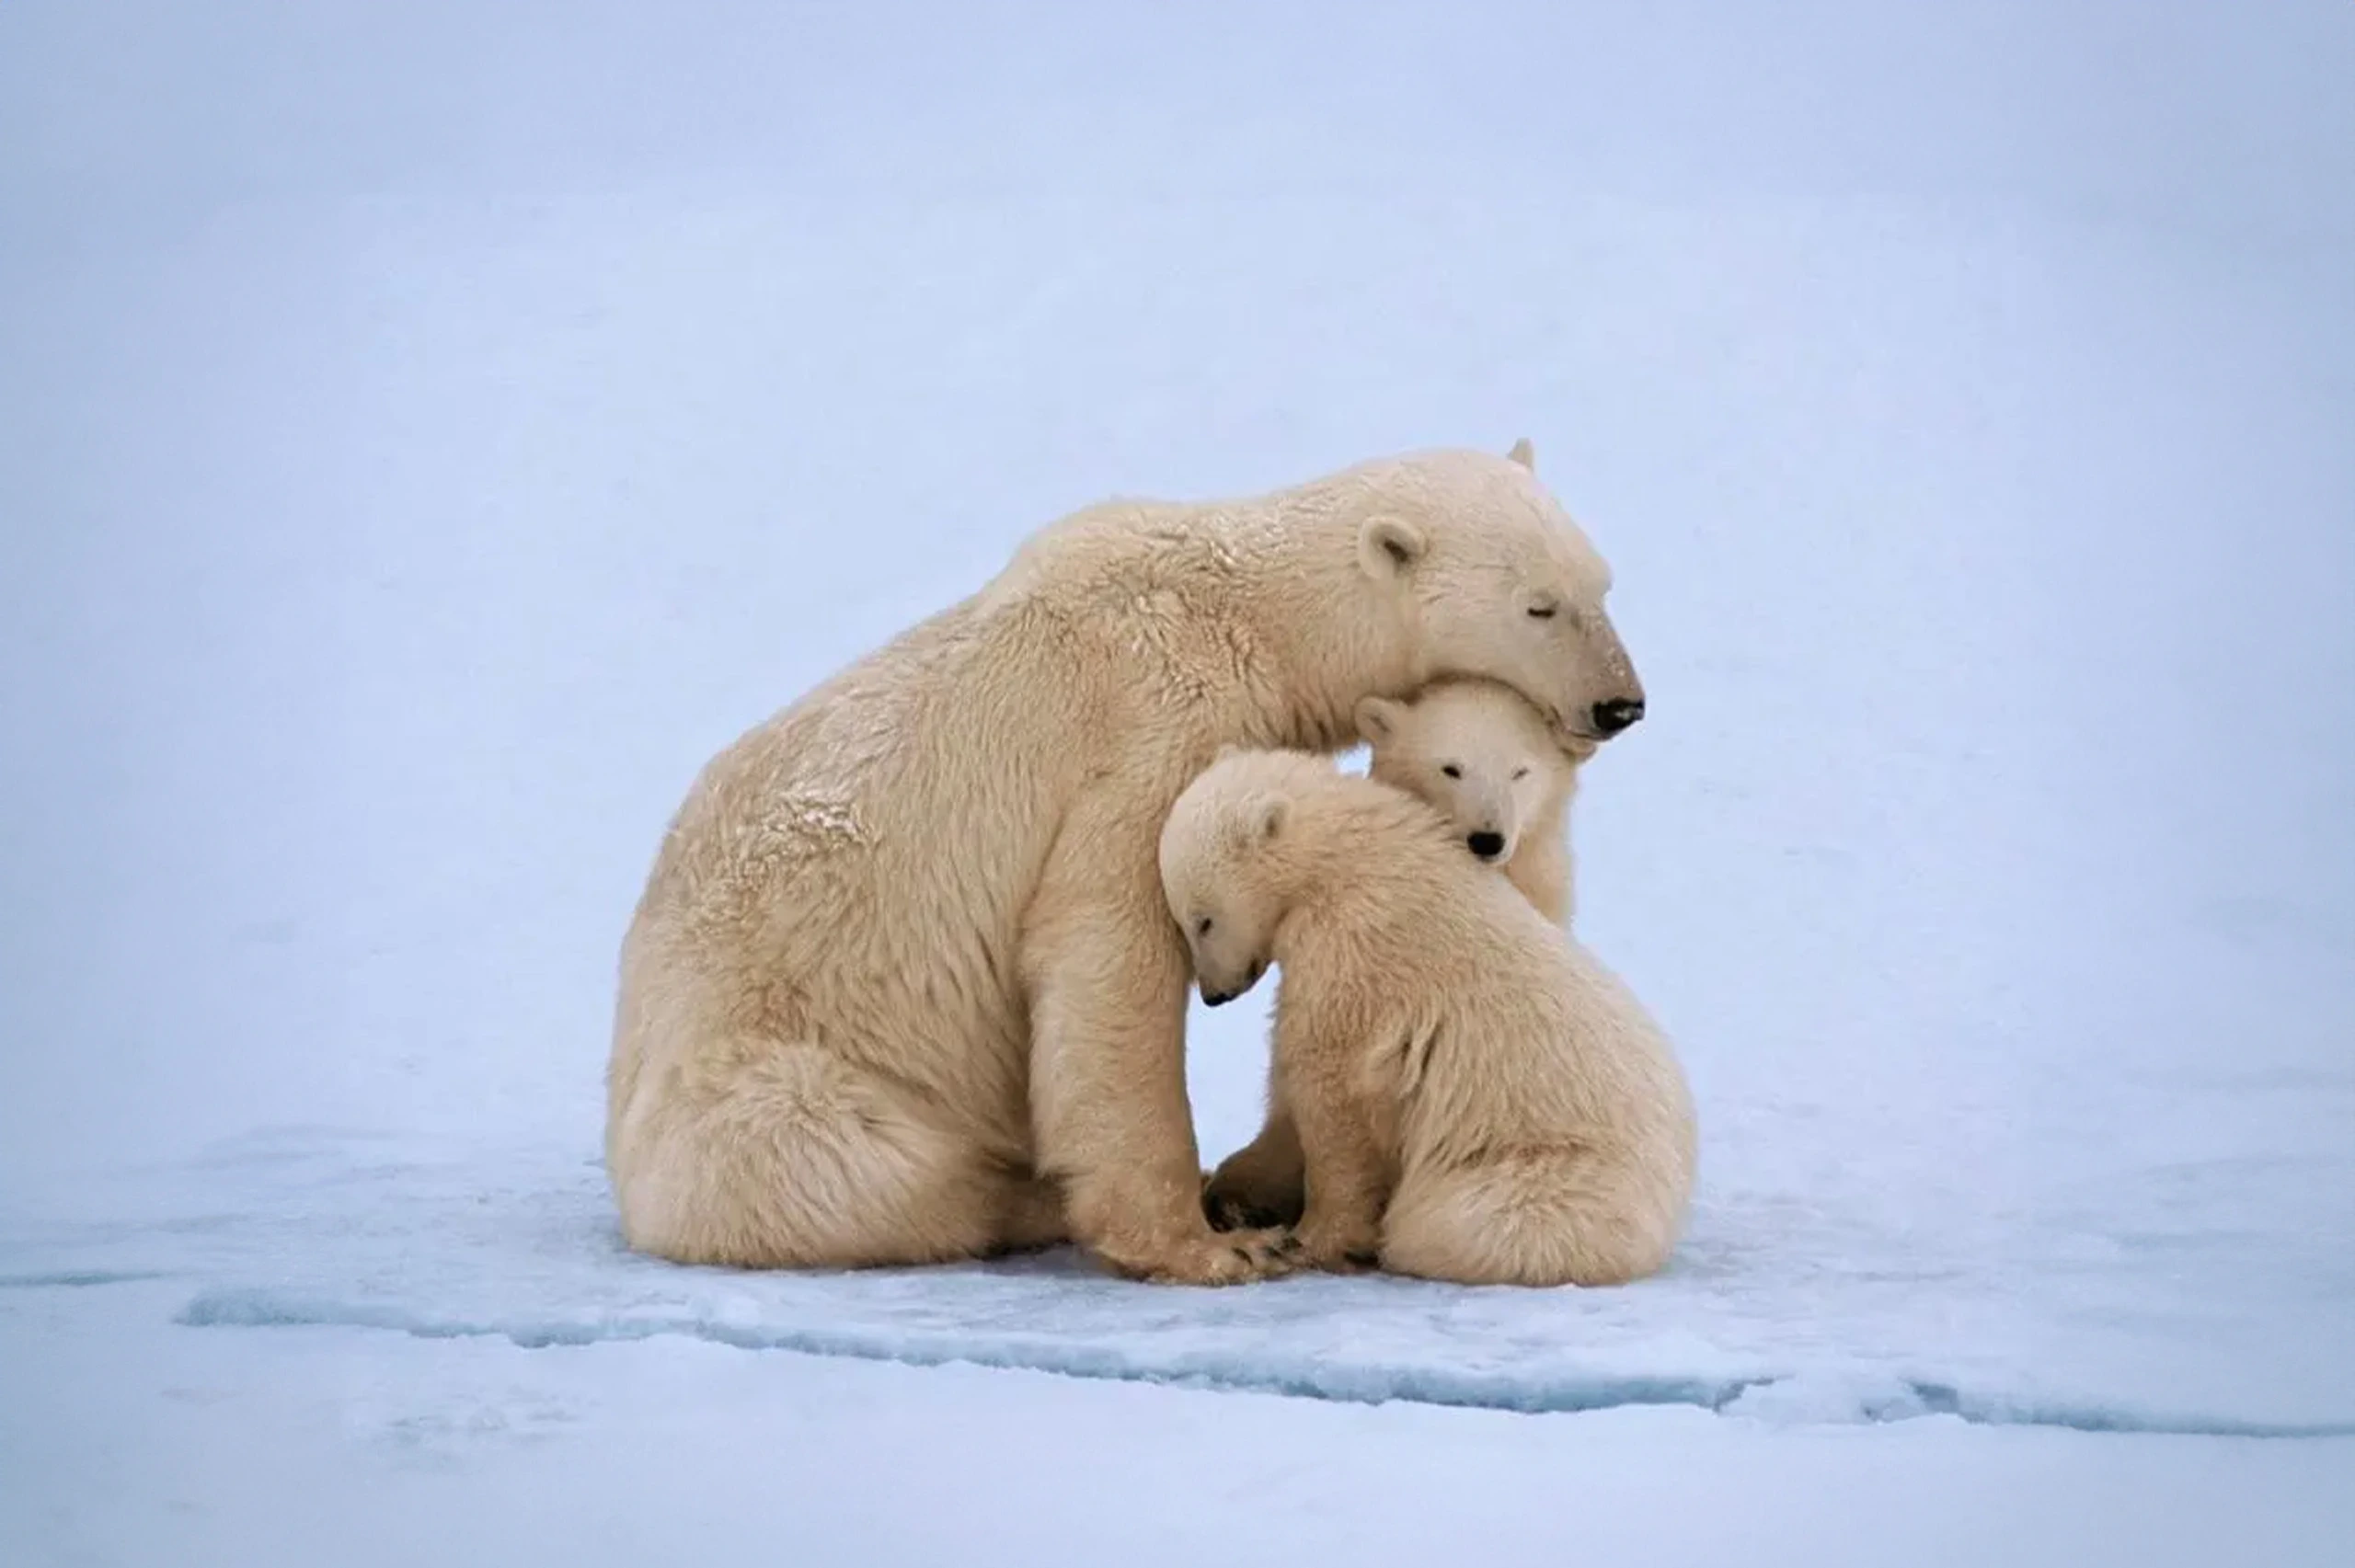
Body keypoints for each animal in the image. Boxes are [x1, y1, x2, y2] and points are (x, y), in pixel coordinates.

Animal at [1149, 749, 1685, 1280]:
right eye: (1185, 919)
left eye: (1203, 920)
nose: (1215, 995)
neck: (1345, 856)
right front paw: (1237, 1193)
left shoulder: (1352, 944)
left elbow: (1328, 1084)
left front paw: (1307, 1241)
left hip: (1553, 1175)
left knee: (1448, 1222)